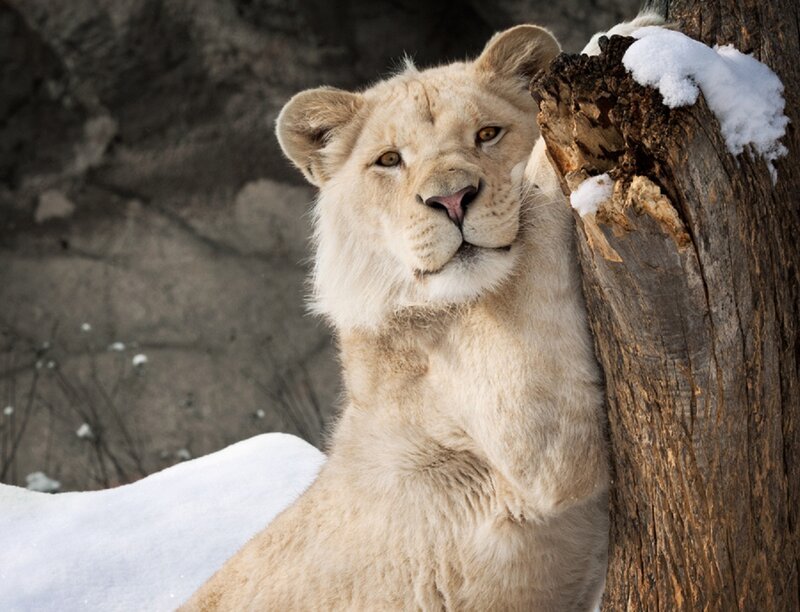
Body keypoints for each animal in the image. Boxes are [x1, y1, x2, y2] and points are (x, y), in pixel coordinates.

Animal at [183, 21, 615, 612]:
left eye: (487, 134)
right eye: (389, 160)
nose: (452, 199)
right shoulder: (538, 440)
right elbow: (539, 190)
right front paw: (635, 30)